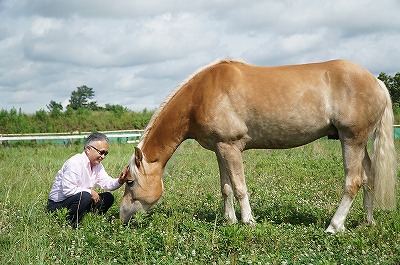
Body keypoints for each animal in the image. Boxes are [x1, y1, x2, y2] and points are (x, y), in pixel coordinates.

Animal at [119, 58, 396, 231]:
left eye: (130, 182)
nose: (122, 215)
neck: (201, 95)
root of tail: (377, 82)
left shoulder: (231, 147)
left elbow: (240, 187)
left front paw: (248, 222)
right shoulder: (220, 149)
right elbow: (226, 188)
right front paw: (230, 221)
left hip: (352, 139)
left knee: (354, 181)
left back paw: (334, 226)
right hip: (359, 142)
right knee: (369, 177)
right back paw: (368, 222)